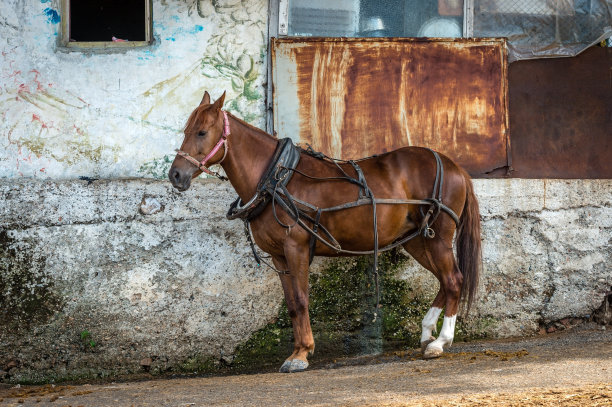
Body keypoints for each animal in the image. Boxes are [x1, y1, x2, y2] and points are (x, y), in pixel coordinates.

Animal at [170, 91, 480, 372]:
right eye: (186, 130)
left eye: (201, 132)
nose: (175, 175)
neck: (277, 177)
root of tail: (454, 166)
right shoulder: (279, 256)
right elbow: (291, 304)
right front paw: (298, 349)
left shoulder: (295, 248)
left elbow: (301, 300)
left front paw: (301, 354)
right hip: (417, 241)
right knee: (444, 281)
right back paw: (427, 332)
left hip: (439, 237)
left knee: (453, 280)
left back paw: (441, 341)